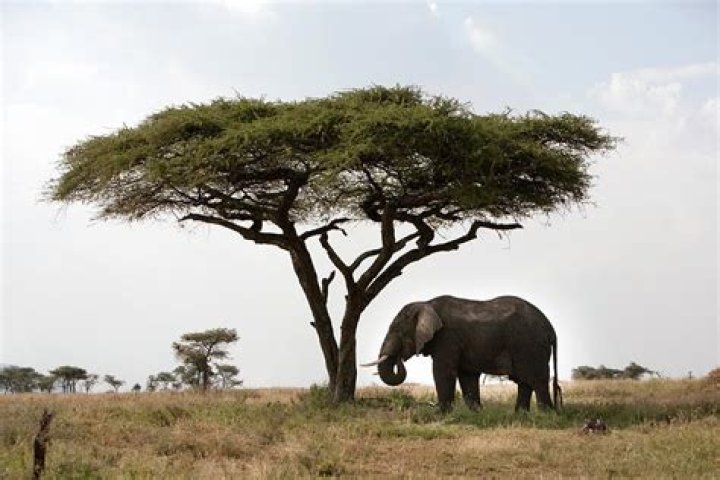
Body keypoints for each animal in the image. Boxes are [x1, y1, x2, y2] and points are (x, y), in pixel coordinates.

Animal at [362, 295, 560, 412]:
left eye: (398, 331)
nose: (398, 357)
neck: (426, 304)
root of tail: (551, 329)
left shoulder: (447, 337)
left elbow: (443, 372)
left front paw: (440, 415)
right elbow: (467, 376)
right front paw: (476, 414)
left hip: (530, 345)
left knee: (536, 379)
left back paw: (545, 416)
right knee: (525, 382)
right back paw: (520, 416)